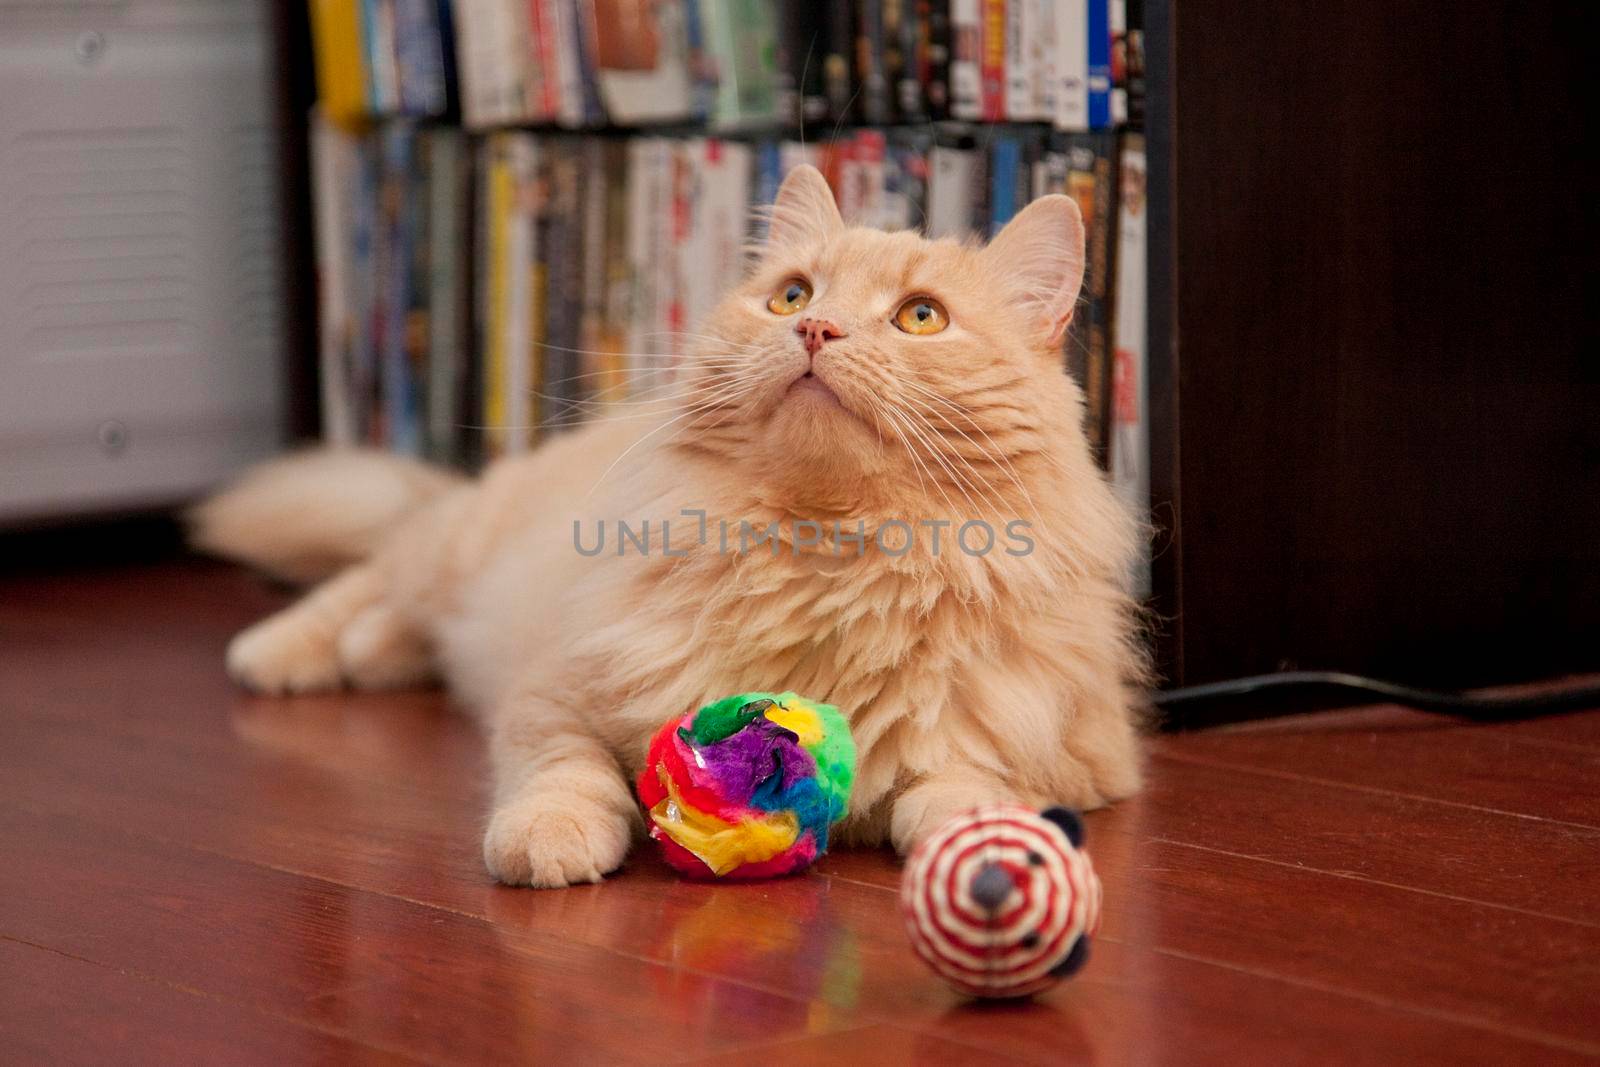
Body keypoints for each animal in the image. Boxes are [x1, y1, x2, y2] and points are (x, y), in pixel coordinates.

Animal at [196, 164, 1152, 883]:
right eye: (791, 296)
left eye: (921, 316)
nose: (815, 328)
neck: (823, 559)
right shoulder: (553, 693)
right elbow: (565, 772)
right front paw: (549, 839)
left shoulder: (1057, 746)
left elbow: (958, 786)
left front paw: (986, 850)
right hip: (452, 547)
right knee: (367, 581)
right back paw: (278, 655)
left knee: (399, 622)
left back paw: (372, 655)